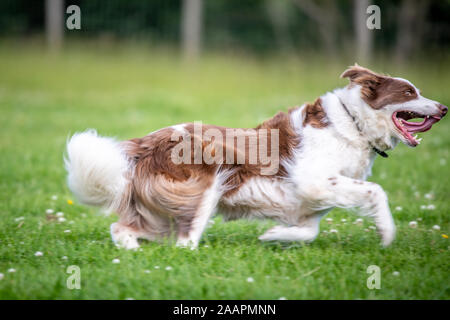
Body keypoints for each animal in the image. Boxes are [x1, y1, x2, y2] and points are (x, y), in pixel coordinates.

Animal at [65, 65, 448, 250]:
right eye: (409, 92)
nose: (443, 108)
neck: (352, 125)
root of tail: (142, 144)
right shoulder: (313, 180)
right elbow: (376, 191)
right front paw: (387, 234)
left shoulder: (310, 202)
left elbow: (308, 231)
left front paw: (274, 236)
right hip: (205, 181)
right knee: (184, 243)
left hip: (162, 212)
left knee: (122, 228)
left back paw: (131, 251)